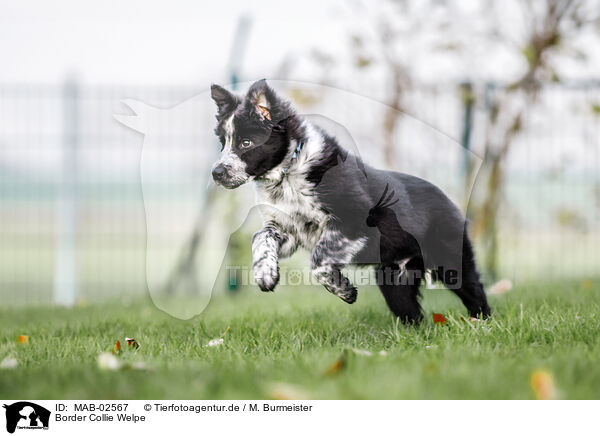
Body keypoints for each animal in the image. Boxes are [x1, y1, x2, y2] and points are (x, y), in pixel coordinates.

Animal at [209, 79, 490, 324]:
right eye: (223, 143)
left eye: (246, 143)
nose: (216, 173)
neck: (289, 171)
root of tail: (449, 200)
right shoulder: (290, 231)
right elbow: (260, 236)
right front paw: (265, 273)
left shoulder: (354, 221)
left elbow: (319, 261)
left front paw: (344, 291)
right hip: (393, 276)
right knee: (412, 313)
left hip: (451, 259)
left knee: (474, 291)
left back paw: (481, 324)